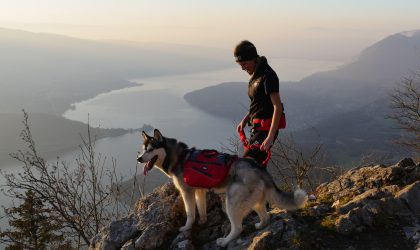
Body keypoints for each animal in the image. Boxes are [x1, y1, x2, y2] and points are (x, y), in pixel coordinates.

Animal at [138, 130, 308, 247]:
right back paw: (260, 225)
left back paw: (225, 242)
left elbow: (190, 213)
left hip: (232, 202)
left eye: (151, 150)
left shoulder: (187, 192)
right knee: (265, 217)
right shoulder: (199, 191)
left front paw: (186, 227)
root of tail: (259, 168)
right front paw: (203, 221)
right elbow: (201, 208)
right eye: (143, 149)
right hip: (254, 200)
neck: (178, 157)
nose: (138, 158)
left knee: (238, 228)